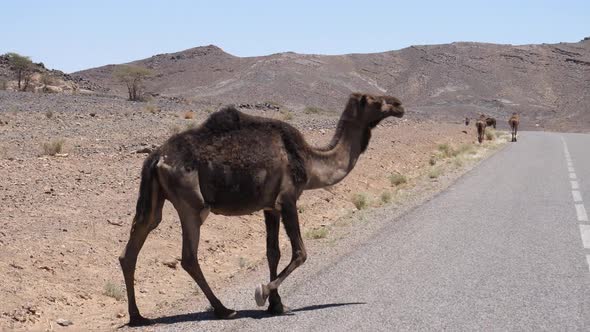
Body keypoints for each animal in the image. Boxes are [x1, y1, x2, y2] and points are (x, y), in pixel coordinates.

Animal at [120, 92, 408, 326]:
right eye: (374, 100)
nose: (398, 104)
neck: (309, 160)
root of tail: (157, 156)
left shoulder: (270, 207)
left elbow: (273, 253)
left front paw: (277, 305)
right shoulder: (288, 199)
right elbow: (300, 252)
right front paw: (262, 293)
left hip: (156, 198)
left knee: (134, 245)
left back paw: (137, 316)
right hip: (191, 202)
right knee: (189, 256)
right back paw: (223, 309)